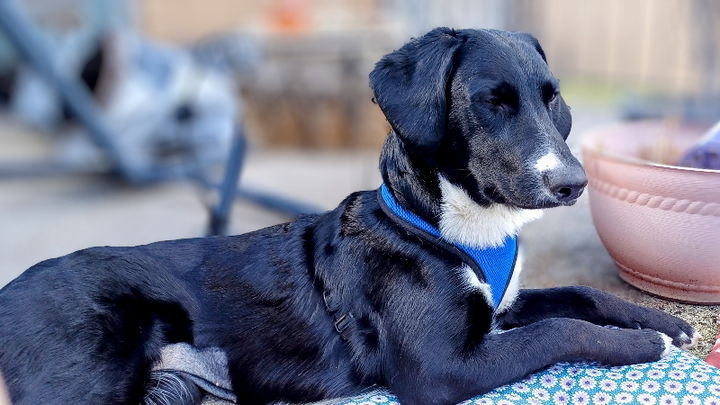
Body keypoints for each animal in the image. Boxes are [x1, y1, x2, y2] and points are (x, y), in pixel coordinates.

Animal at [0, 28, 700, 405]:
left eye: (552, 99)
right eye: (492, 102)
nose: (574, 183)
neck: (442, 222)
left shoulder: (500, 308)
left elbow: (579, 294)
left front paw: (662, 321)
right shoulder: (440, 368)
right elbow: (557, 332)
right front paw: (642, 344)